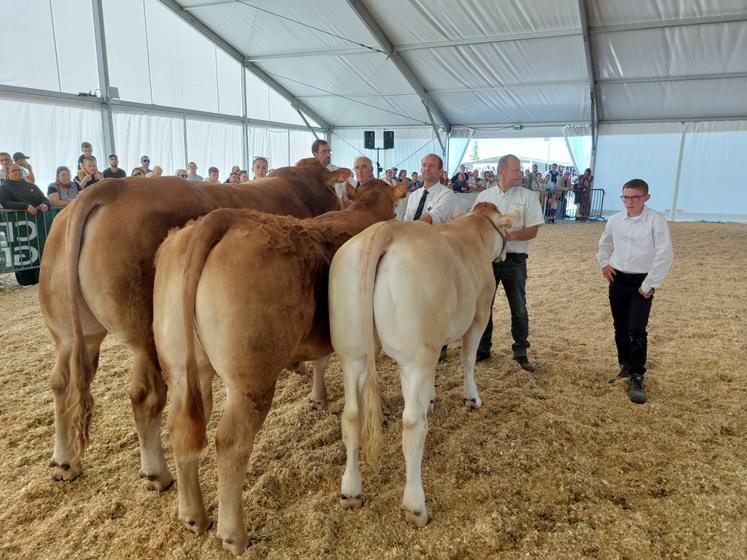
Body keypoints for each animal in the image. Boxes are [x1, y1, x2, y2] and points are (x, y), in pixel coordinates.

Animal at [38, 159, 348, 490]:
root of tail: (103, 189)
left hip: (72, 332)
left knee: (62, 381)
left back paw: (64, 462)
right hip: (149, 336)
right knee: (144, 397)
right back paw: (157, 473)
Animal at [155, 182, 400, 552]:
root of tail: (220, 218)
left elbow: (321, 359)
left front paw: (317, 397)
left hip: (184, 370)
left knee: (181, 428)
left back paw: (193, 516)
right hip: (251, 380)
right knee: (230, 442)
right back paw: (234, 535)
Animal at [330, 203, 516, 528]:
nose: (506, 254)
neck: (475, 232)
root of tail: (386, 229)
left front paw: (430, 398)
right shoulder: (479, 314)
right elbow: (468, 359)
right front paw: (471, 398)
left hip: (353, 354)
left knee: (352, 416)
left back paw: (351, 491)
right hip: (415, 356)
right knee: (412, 425)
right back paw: (415, 505)